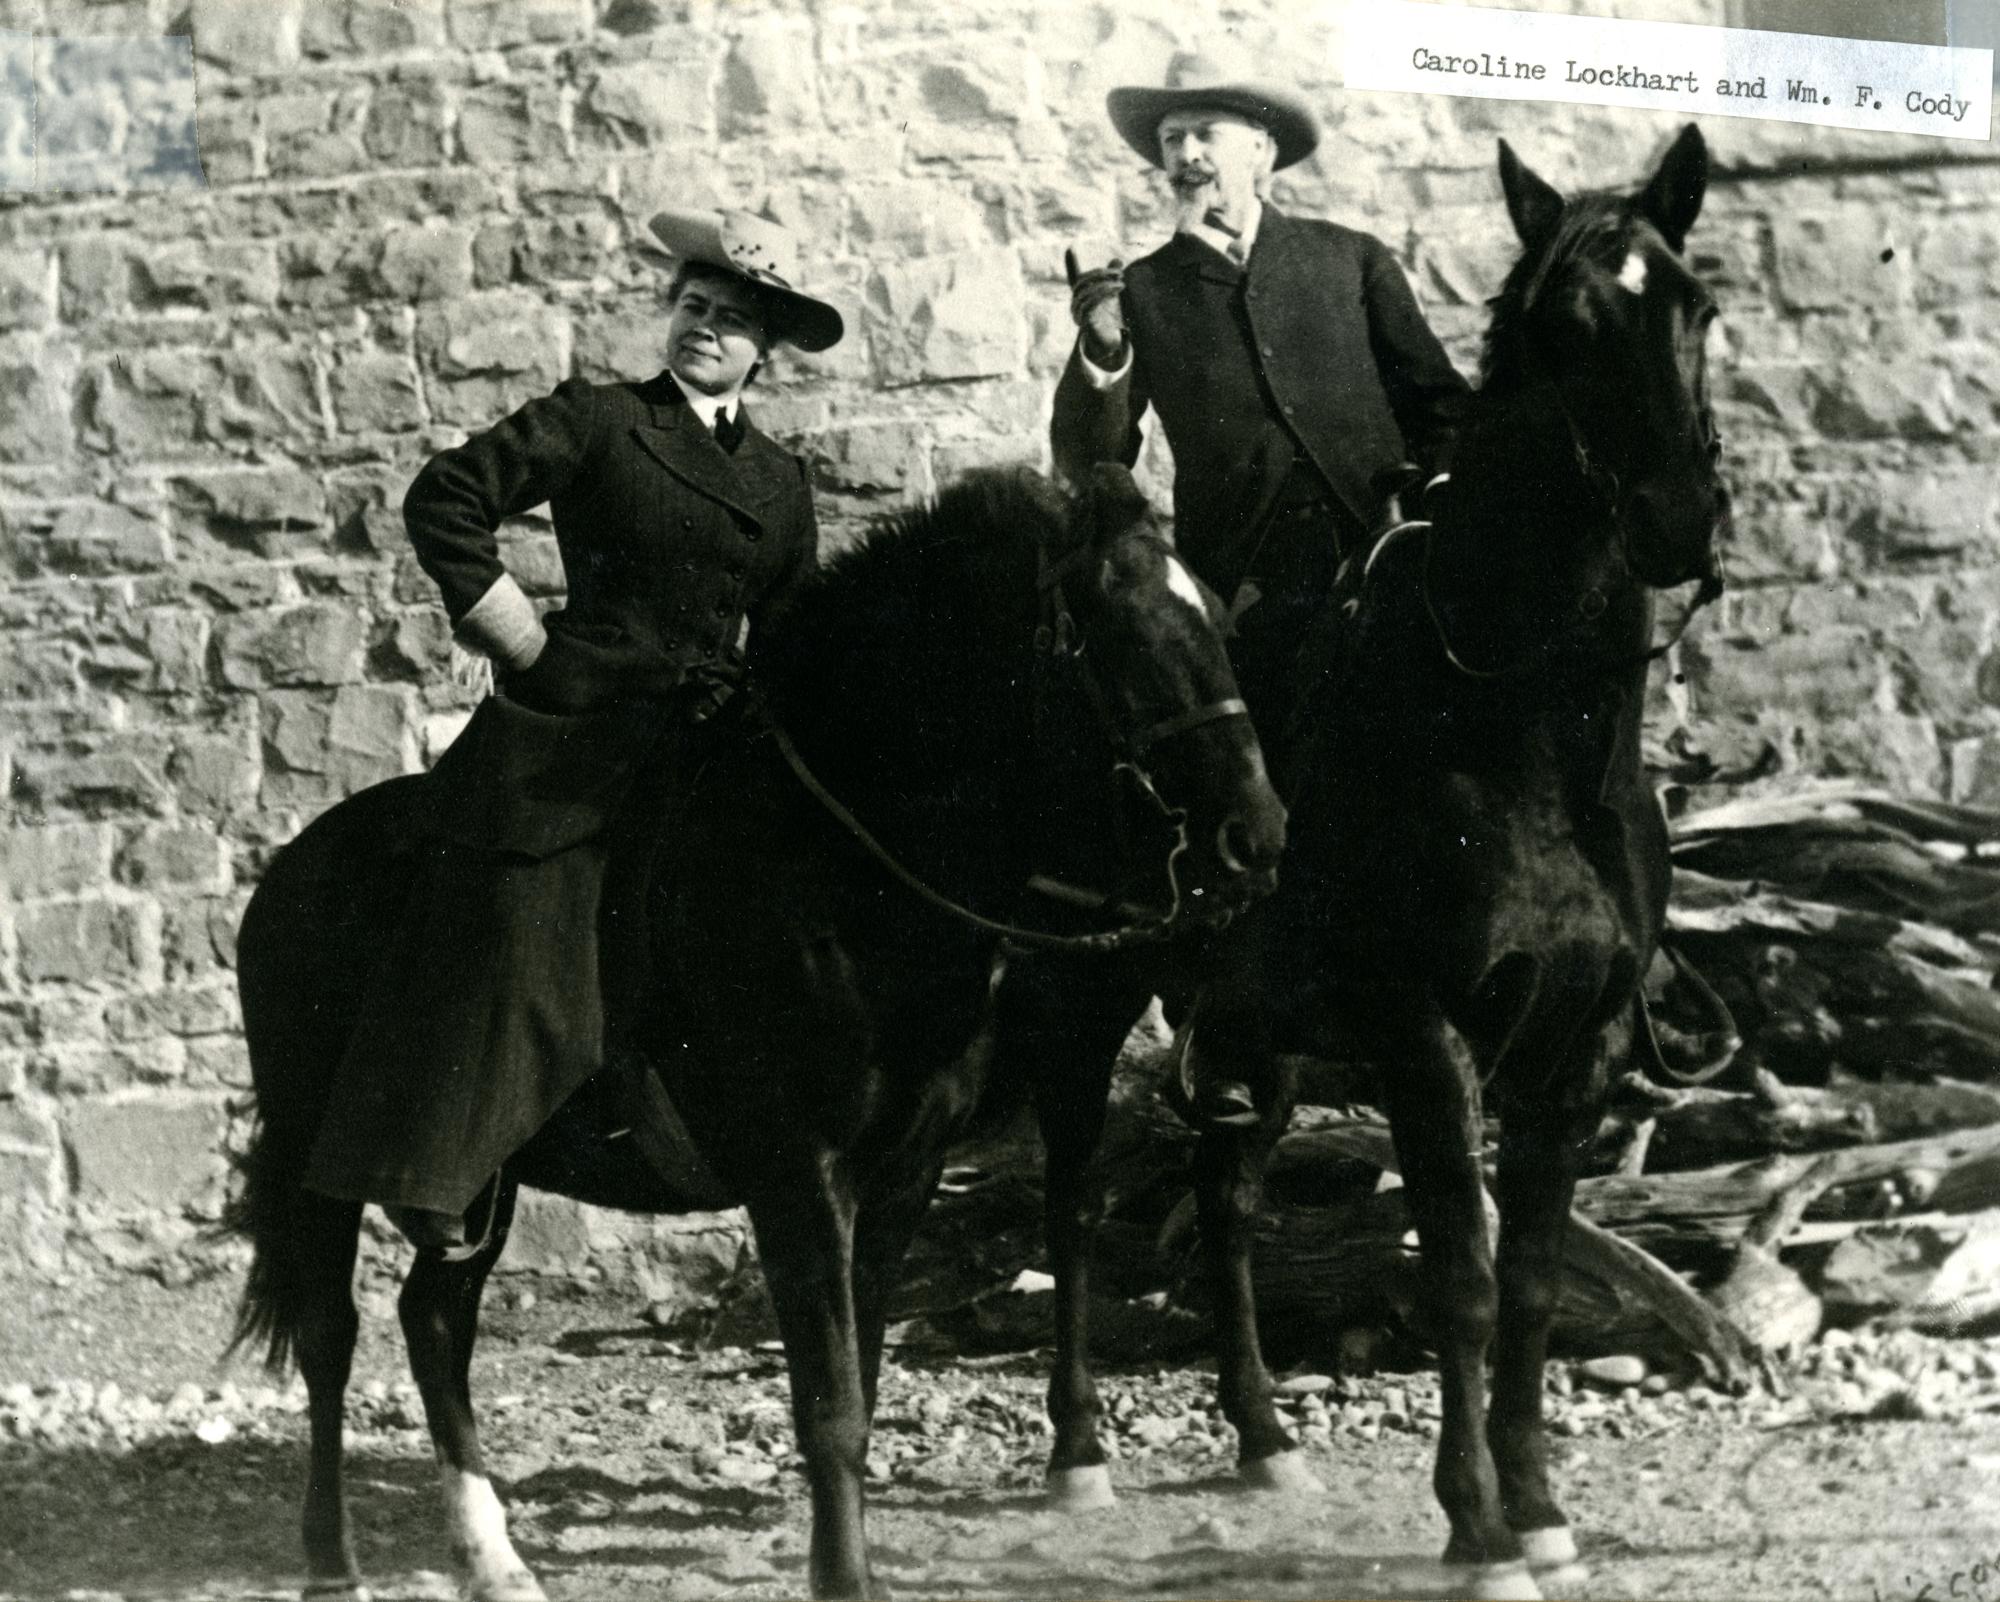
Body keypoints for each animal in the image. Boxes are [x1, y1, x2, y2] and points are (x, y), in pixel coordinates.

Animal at [219, 462, 1280, 1600]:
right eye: (1116, 637)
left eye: (1215, 621)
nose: (1258, 837)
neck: (837, 861)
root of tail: (288, 873)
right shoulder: (796, 1174)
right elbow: (831, 1403)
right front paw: (845, 1576)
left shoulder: (899, 1175)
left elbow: (861, 1371)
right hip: (322, 1154)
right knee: (331, 1333)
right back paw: (333, 1559)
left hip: (480, 1169)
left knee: (435, 1320)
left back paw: (493, 1556)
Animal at [1000, 128, 1736, 1600]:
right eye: (1564, 326)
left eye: (1693, 304)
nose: (1679, 514)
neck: (1508, 724)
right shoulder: (1423, 1035)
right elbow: (1460, 1271)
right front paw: (1477, 1528)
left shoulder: (1571, 1053)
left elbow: (1533, 1280)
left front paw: (1538, 1506)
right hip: (1082, 996)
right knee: (1067, 1200)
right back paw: (1079, 1450)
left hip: (1253, 1030)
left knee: (1225, 1197)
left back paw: (1263, 1430)